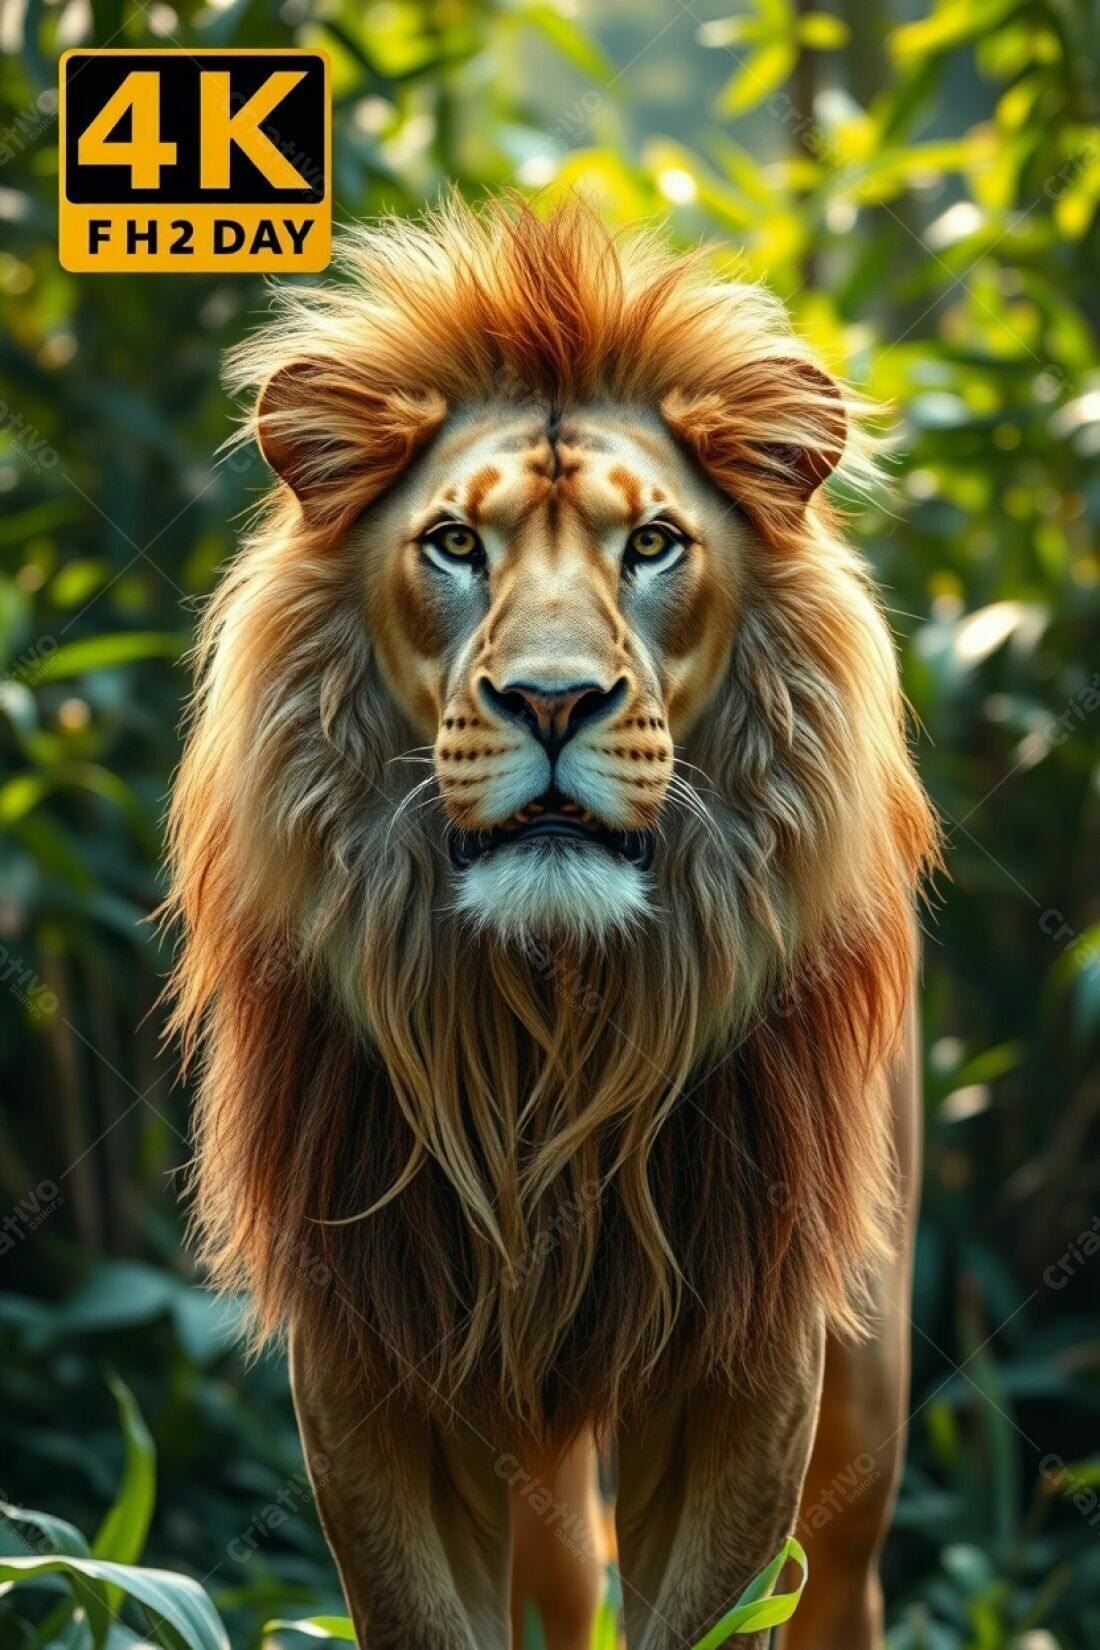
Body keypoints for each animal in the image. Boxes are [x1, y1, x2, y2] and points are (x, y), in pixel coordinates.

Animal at [167, 197, 937, 1650]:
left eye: (652, 545)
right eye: (457, 545)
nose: (552, 699)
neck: (547, 1023)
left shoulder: (749, 1357)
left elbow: (709, 1614)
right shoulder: (372, 1354)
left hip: (865, 1384)